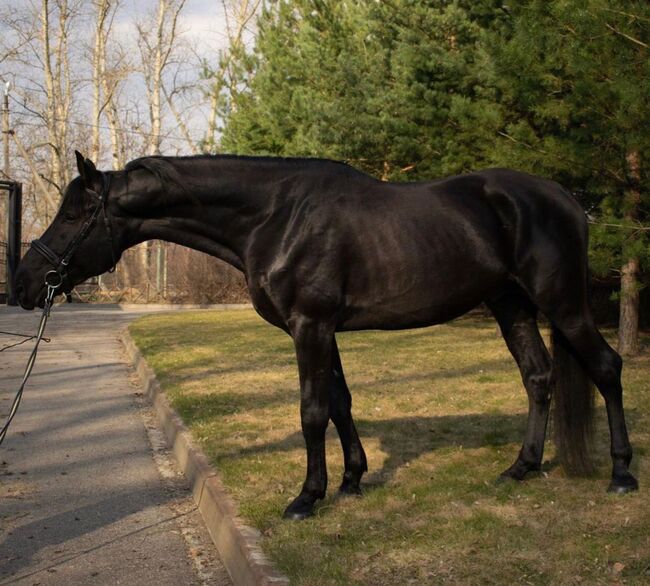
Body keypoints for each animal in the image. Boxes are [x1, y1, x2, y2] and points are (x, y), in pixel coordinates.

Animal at [16, 151, 636, 516]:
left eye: (72, 216)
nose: (23, 283)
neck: (275, 215)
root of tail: (566, 201)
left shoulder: (308, 326)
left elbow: (312, 411)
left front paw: (307, 497)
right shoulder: (321, 329)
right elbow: (340, 402)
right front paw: (352, 481)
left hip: (562, 303)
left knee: (606, 368)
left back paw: (622, 473)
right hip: (512, 305)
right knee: (538, 377)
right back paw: (521, 468)